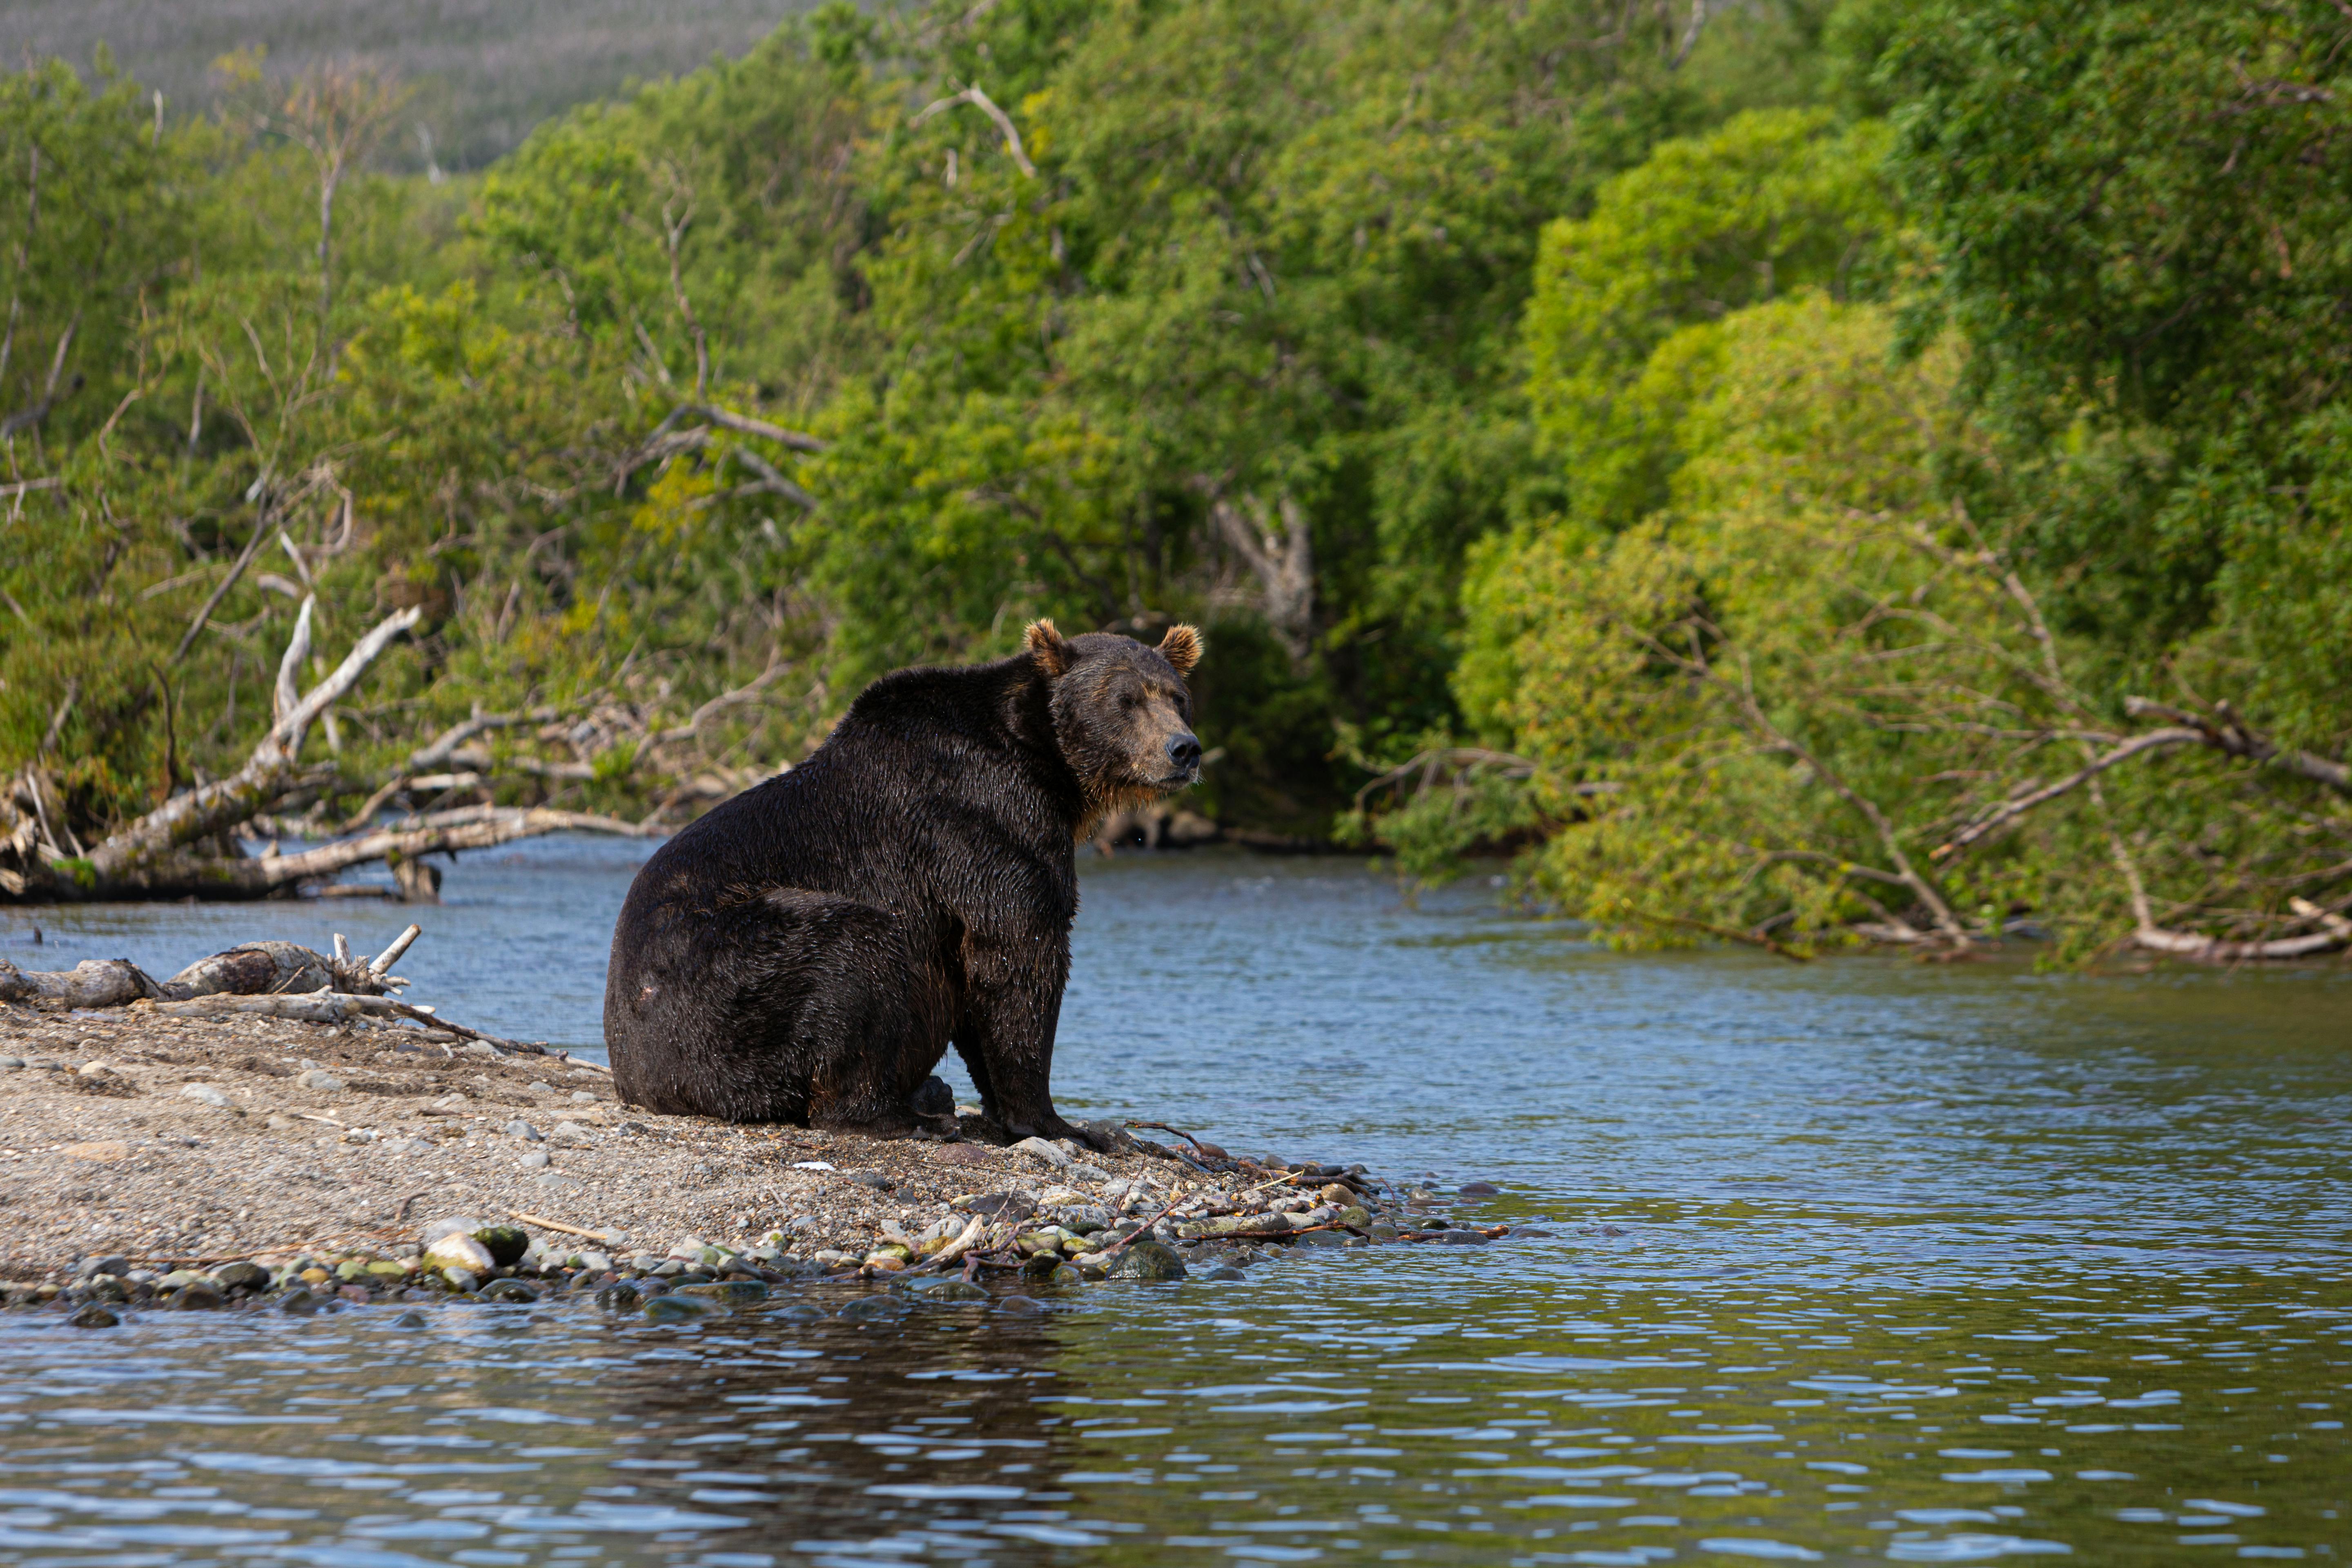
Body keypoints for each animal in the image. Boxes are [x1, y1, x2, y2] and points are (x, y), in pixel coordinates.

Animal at [602, 618, 1204, 1141]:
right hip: (727, 979)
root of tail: (635, 1076)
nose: (1185, 749)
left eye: (1177, 697)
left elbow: (976, 982)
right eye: (1125, 700)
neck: (1046, 764)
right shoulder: (981, 821)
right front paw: (1057, 1121)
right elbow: (1018, 953)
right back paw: (905, 1114)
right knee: (854, 952)